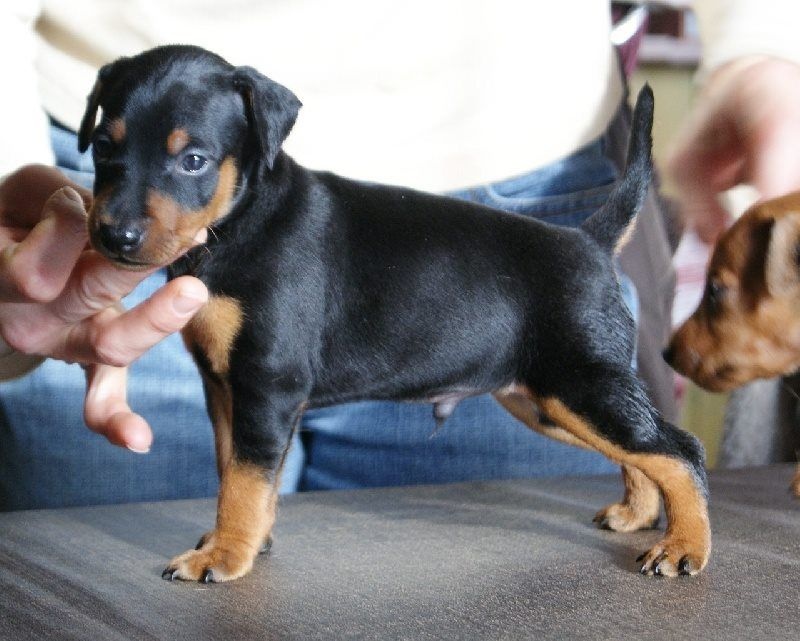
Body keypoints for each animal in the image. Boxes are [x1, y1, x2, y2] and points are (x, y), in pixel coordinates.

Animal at [78, 46, 708, 580]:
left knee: (678, 448)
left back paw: (684, 547)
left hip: (577, 382)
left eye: (194, 160)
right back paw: (637, 515)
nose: (115, 236)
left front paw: (225, 555)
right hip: (547, 400)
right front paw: (238, 541)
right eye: (103, 147)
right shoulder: (226, 388)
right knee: (642, 447)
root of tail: (590, 241)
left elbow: (245, 479)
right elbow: (234, 470)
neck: (241, 221)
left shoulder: (267, 383)